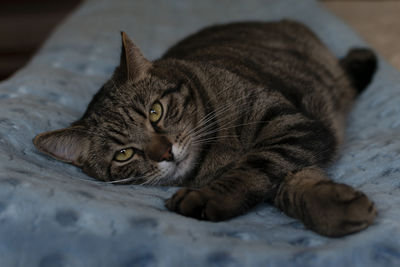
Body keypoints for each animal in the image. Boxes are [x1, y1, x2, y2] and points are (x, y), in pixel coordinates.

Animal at [32, 21, 376, 239]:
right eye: (124, 154)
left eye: (155, 112)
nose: (165, 153)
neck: (214, 150)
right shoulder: (294, 136)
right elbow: (284, 182)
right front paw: (333, 206)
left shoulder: (290, 124)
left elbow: (257, 167)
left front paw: (208, 199)